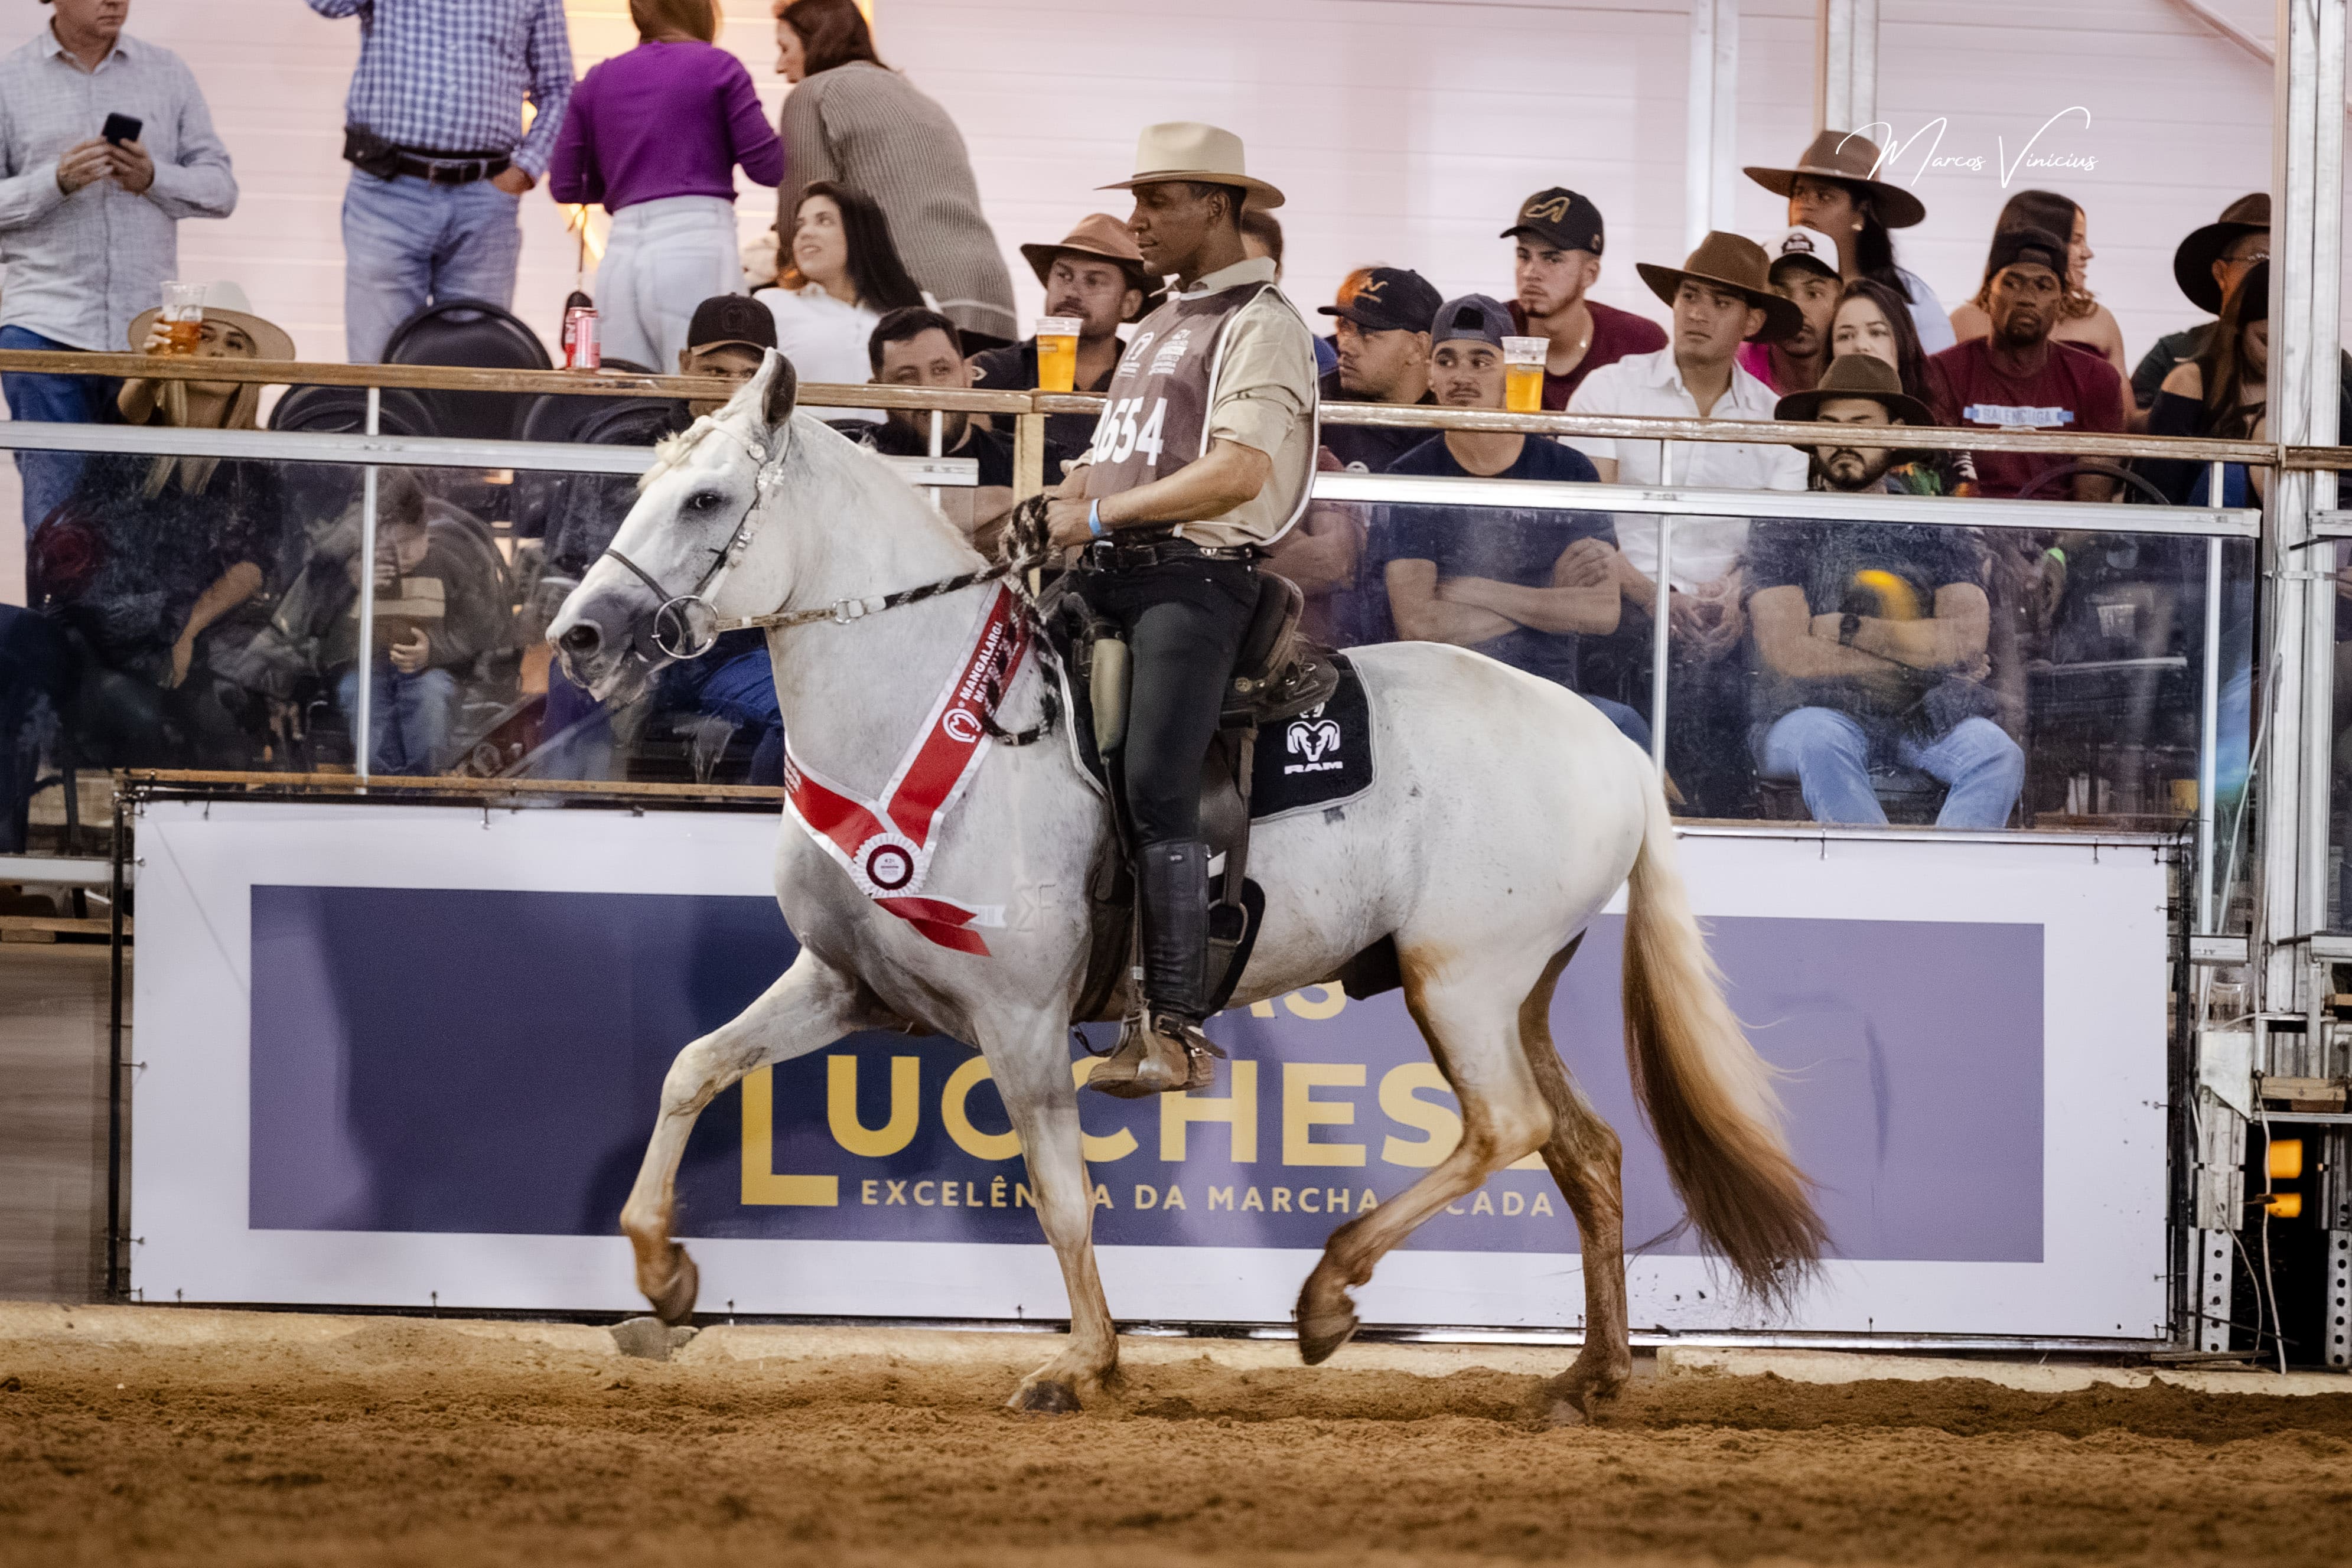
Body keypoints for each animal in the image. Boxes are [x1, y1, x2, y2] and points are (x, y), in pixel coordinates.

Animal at [548, 354, 1825, 1419]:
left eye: (706, 500)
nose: (578, 634)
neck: (937, 723)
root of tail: (1613, 745)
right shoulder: (845, 984)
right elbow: (693, 1068)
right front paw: (662, 1274)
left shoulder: (1019, 1021)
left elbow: (1062, 1192)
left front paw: (1080, 1365)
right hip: (1519, 990)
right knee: (1584, 1150)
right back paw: (1585, 1376)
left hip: (1460, 980)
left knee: (1506, 1126)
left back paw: (1329, 1294)